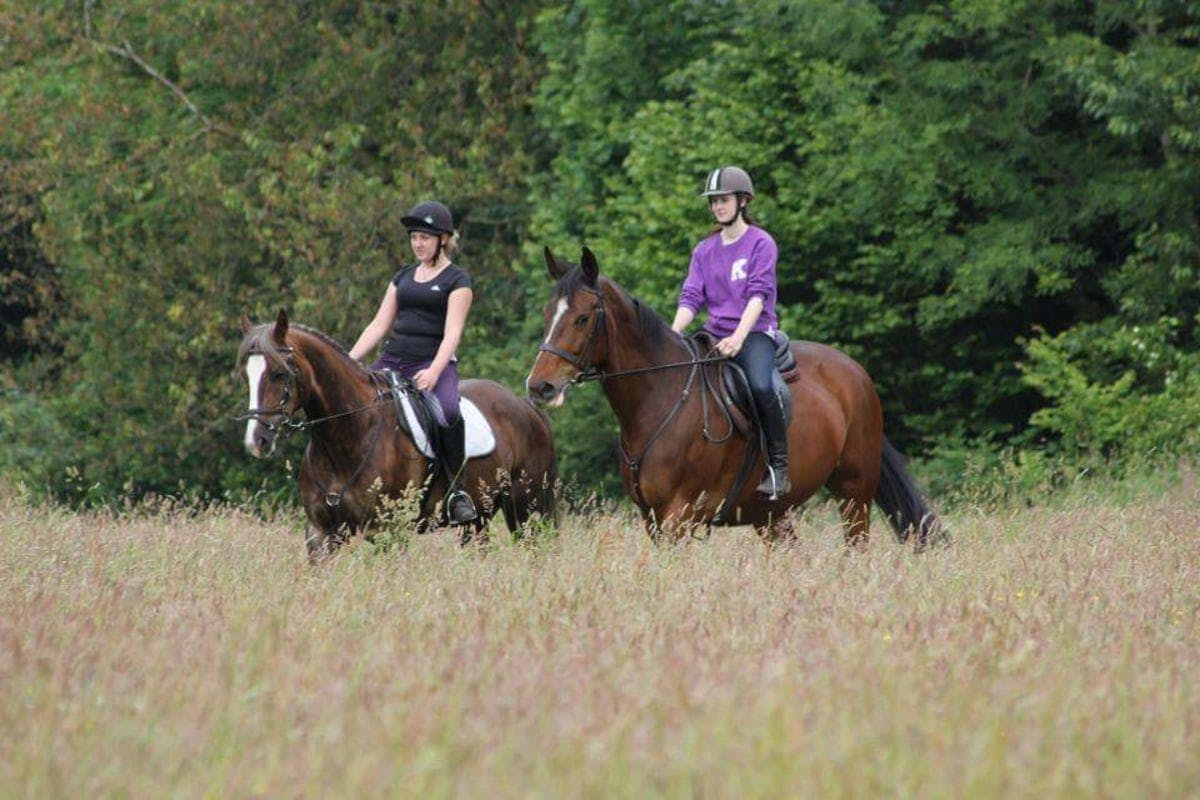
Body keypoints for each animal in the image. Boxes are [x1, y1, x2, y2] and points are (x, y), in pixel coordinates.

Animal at [243, 309, 561, 561]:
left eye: (279, 373)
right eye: (247, 375)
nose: (257, 440)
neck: (347, 437)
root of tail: (528, 407)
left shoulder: (388, 530)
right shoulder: (321, 532)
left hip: (527, 509)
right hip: (479, 518)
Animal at [530, 248, 940, 551]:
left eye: (583, 318)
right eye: (548, 313)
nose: (539, 387)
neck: (660, 399)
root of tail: (855, 372)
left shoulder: (679, 516)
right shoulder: (653, 519)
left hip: (854, 491)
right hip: (770, 515)